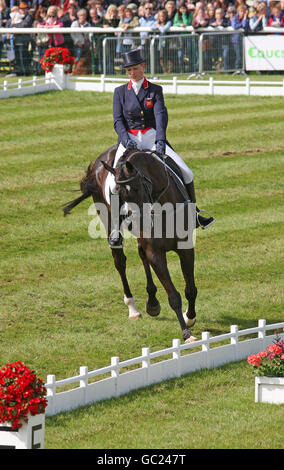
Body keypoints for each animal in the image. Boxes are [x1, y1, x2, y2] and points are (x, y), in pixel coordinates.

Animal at [63, 145, 197, 344]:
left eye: (137, 188)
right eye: (117, 192)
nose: (135, 220)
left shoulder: (185, 248)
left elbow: (190, 289)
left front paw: (190, 317)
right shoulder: (155, 253)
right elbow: (173, 295)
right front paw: (186, 333)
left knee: (141, 255)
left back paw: (152, 303)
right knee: (120, 262)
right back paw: (133, 308)